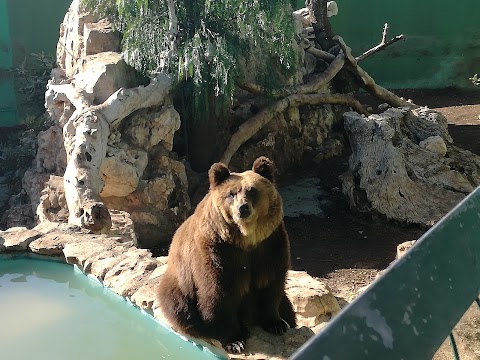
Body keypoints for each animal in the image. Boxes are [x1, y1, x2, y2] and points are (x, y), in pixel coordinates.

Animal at [158, 156, 294, 352]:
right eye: (232, 193)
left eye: (252, 191)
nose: (242, 208)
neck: (246, 238)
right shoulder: (219, 250)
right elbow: (220, 293)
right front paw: (235, 340)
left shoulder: (270, 244)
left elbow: (271, 283)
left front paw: (277, 324)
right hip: (181, 284)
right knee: (180, 308)